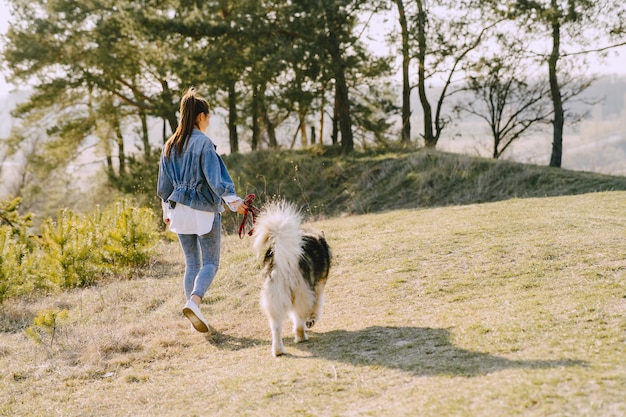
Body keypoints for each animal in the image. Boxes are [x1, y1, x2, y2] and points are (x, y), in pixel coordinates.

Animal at [254, 200, 332, 356]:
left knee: (276, 327)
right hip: (302, 294)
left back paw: (278, 350)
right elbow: (316, 307)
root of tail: (284, 262)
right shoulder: (318, 287)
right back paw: (302, 336)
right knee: (299, 321)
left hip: (275, 300)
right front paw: (311, 321)